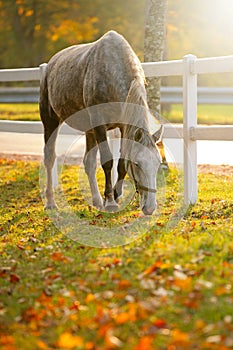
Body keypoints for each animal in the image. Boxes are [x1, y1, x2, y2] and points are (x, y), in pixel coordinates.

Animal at [40, 30, 163, 216]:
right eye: (137, 163)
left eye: (157, 163)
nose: (149, 208)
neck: (112, 72)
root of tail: (50, 65)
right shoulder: (99, 125)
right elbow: (107, 161)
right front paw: (111, 202)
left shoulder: (123, 126)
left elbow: (121, 164)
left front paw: (116, 196)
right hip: (50, 122)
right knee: (49, 158)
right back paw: (50, 202)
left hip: (88, 130)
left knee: (89, 163)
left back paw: (97, 201)